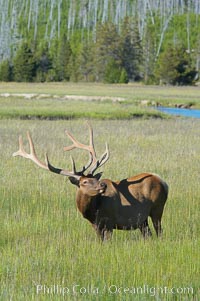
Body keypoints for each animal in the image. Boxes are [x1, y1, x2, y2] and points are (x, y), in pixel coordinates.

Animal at [12, 120, 169, 240]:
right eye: (84, 182)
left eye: (94, 178)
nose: (103, 185)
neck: (92, 212)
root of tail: (164, 182)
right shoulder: (96, 225)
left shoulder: (109, 222)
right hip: (142, 220)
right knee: (148, 234)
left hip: (157, 208)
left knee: (159, 231)